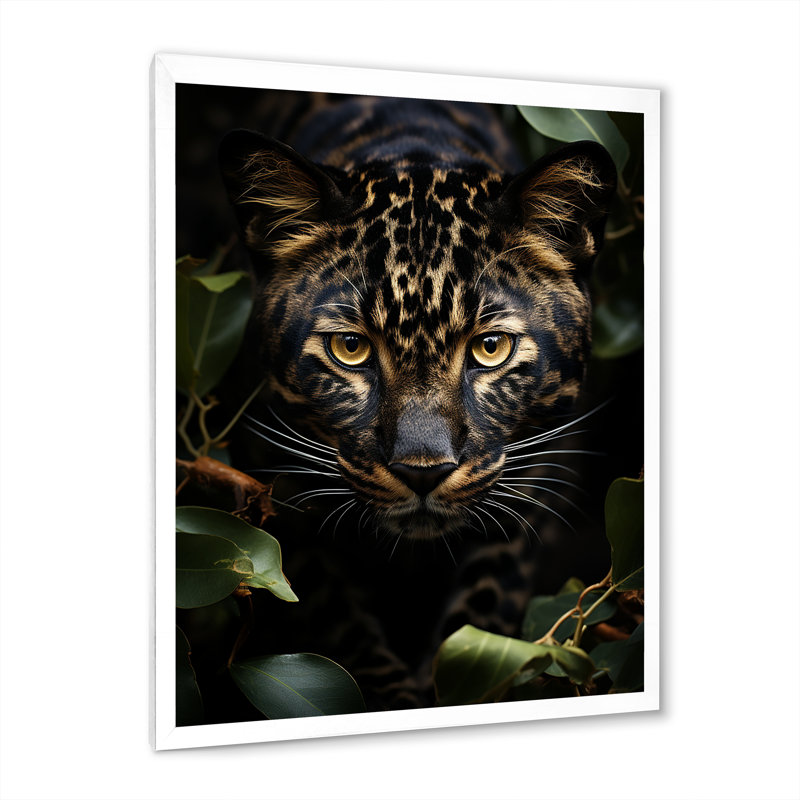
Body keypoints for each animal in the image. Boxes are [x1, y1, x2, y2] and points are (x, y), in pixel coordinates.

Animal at [214, 93, 617, 713]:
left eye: (491, 348)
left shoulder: (530, 484)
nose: (421, 471)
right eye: (349, 348)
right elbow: (341, 628)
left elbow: (482, 616)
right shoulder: (280, 508)